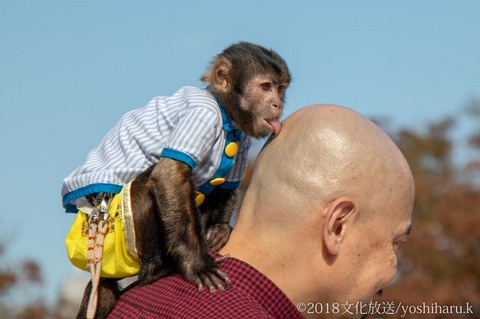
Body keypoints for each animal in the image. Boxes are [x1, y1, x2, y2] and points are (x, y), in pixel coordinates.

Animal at [62, 42, 290, 319]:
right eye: (265, 87)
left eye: (280, 88)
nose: (277, 104)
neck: (224, 111)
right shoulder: (203, 115)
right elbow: (167, 176)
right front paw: (196, 264)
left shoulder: (241, 138)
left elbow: (227, 185)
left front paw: (220, 229)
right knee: (147, 185)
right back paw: (156, 270)